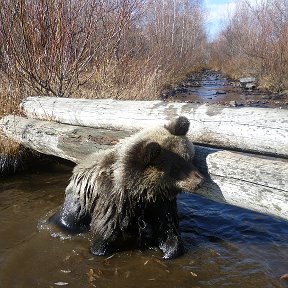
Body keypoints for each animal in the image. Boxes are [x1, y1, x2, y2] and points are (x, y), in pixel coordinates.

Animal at [51, 116, 205, 260]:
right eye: (175, 168)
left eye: (189, 158)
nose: (200, 181)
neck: (139, 190)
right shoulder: (114, 200)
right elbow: (105, 231)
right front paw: (99, 248)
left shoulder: (160, 203)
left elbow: (168, 229)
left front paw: (170, 251)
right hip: (80, 198)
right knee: (71, 217)